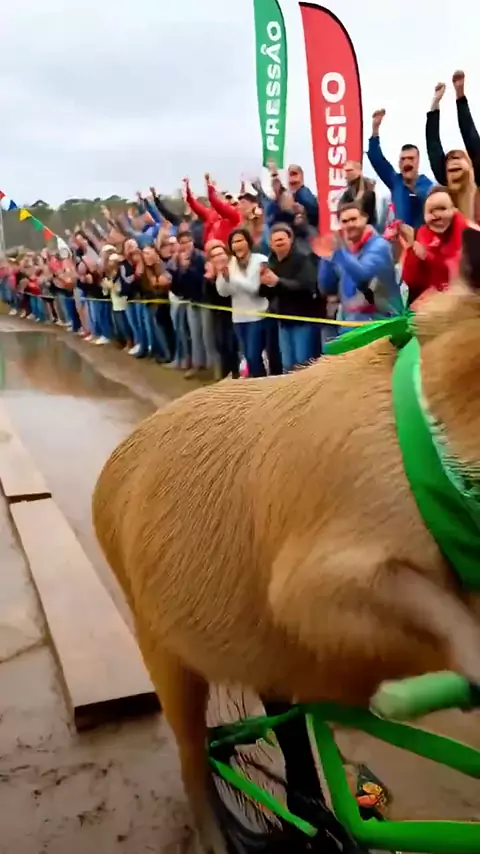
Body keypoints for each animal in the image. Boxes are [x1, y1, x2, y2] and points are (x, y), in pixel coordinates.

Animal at [92, 227, 480, 854]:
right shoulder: (319, 569)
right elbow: (403, 602)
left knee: (286, 727)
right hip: (159, 648)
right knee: (196, 755)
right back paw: (230, 838)